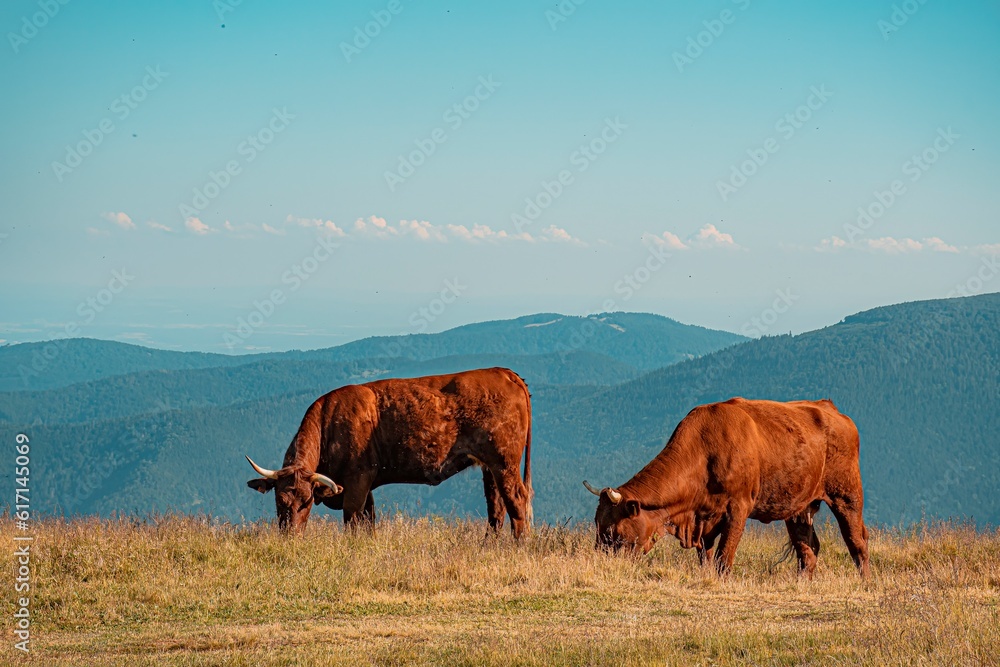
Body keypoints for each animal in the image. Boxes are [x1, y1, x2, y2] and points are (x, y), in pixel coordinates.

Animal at [246, 367, 533, 537]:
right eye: (279, 501)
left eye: (306, 501)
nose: (290, 536)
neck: (330, 421)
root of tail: (503, 372)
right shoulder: (366, 485)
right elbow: (368, 520)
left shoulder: (358, 479)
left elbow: (352, 518)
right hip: (490, 466)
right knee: (496, 507)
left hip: (505, 461)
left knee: (517, 500)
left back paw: (518, 546)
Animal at [584, 397, 870, 578]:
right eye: (597, 523)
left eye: (613, 531)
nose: (599, 561)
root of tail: (830, 409)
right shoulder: (704, 520)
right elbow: (706, 558)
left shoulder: (738, 508)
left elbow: (724, 556)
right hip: (800, 507)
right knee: (808, 550)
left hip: (847, 495)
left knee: (857, 542)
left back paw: (864, 582)